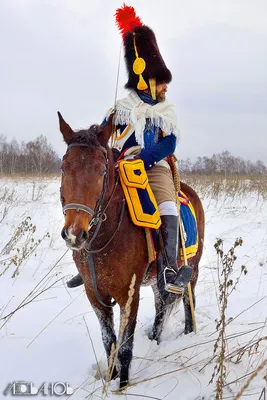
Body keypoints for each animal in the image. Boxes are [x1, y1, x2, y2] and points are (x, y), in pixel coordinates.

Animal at [58, 112, 205, 388]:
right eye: (64, 168)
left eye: (102, 171)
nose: (74, 233)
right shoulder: (95, 295)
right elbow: (109, 343)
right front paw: (111, 378)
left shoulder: (129, 295)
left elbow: (125, 348)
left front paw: (123, 385)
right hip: (158, 278)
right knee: (161, 305)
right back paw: (156, 338)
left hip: (192, 266)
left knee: (187, 300)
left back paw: (189, 334)